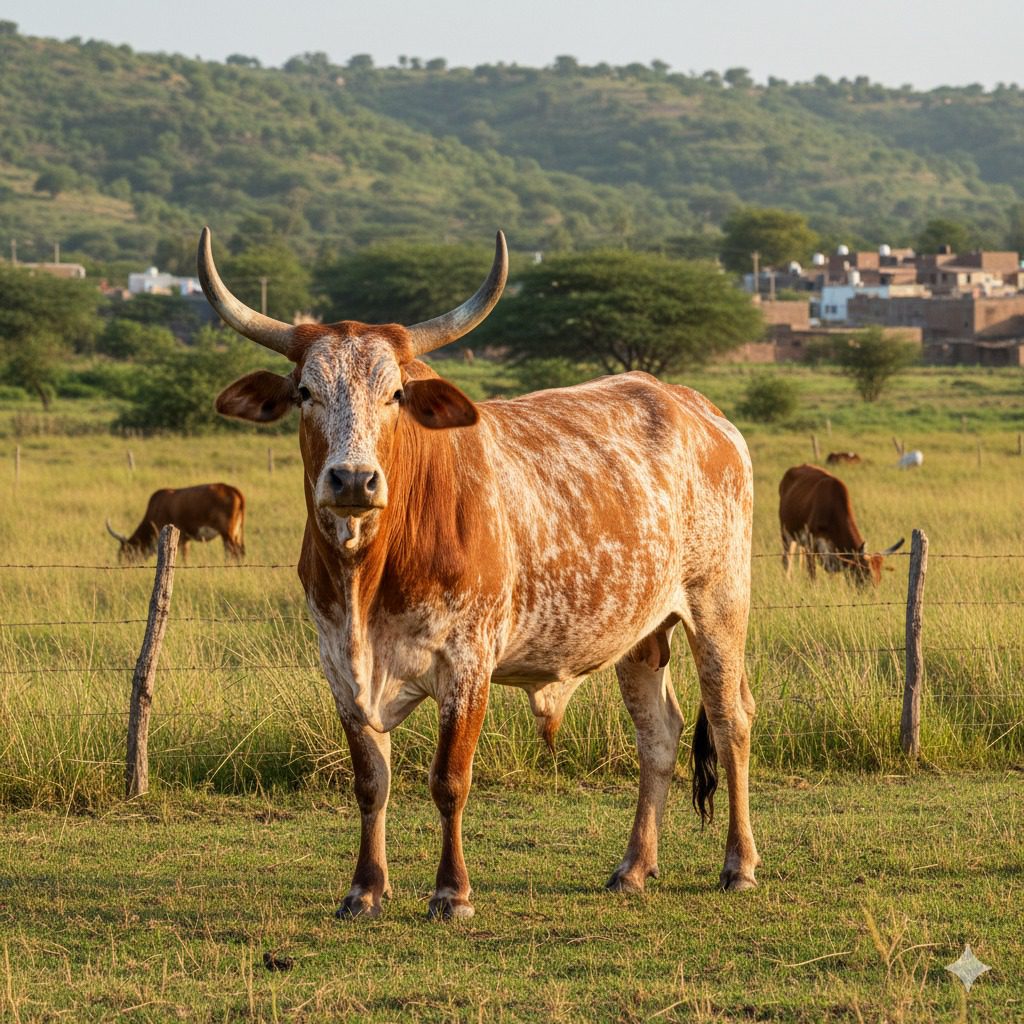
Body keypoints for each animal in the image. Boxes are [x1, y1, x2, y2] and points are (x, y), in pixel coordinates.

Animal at [106, 483, 245, 562]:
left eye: (125, 554)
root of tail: (232, 489)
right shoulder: (185, 539)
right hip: (237, 532)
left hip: (227, 533)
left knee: (232, 552)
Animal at [199, 226, 759, 919]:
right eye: (305, 392)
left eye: (396, 394)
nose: (353, 480)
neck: (368, 575)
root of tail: (702, 410)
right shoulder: (339, 665)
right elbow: (370, 782)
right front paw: (364, 888)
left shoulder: (468, 662)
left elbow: (449, 780)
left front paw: (452, 891)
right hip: (640, 631)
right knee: (658, 735)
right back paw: (633, 867)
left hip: (719, 605)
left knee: (732, 720)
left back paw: (739, 864)